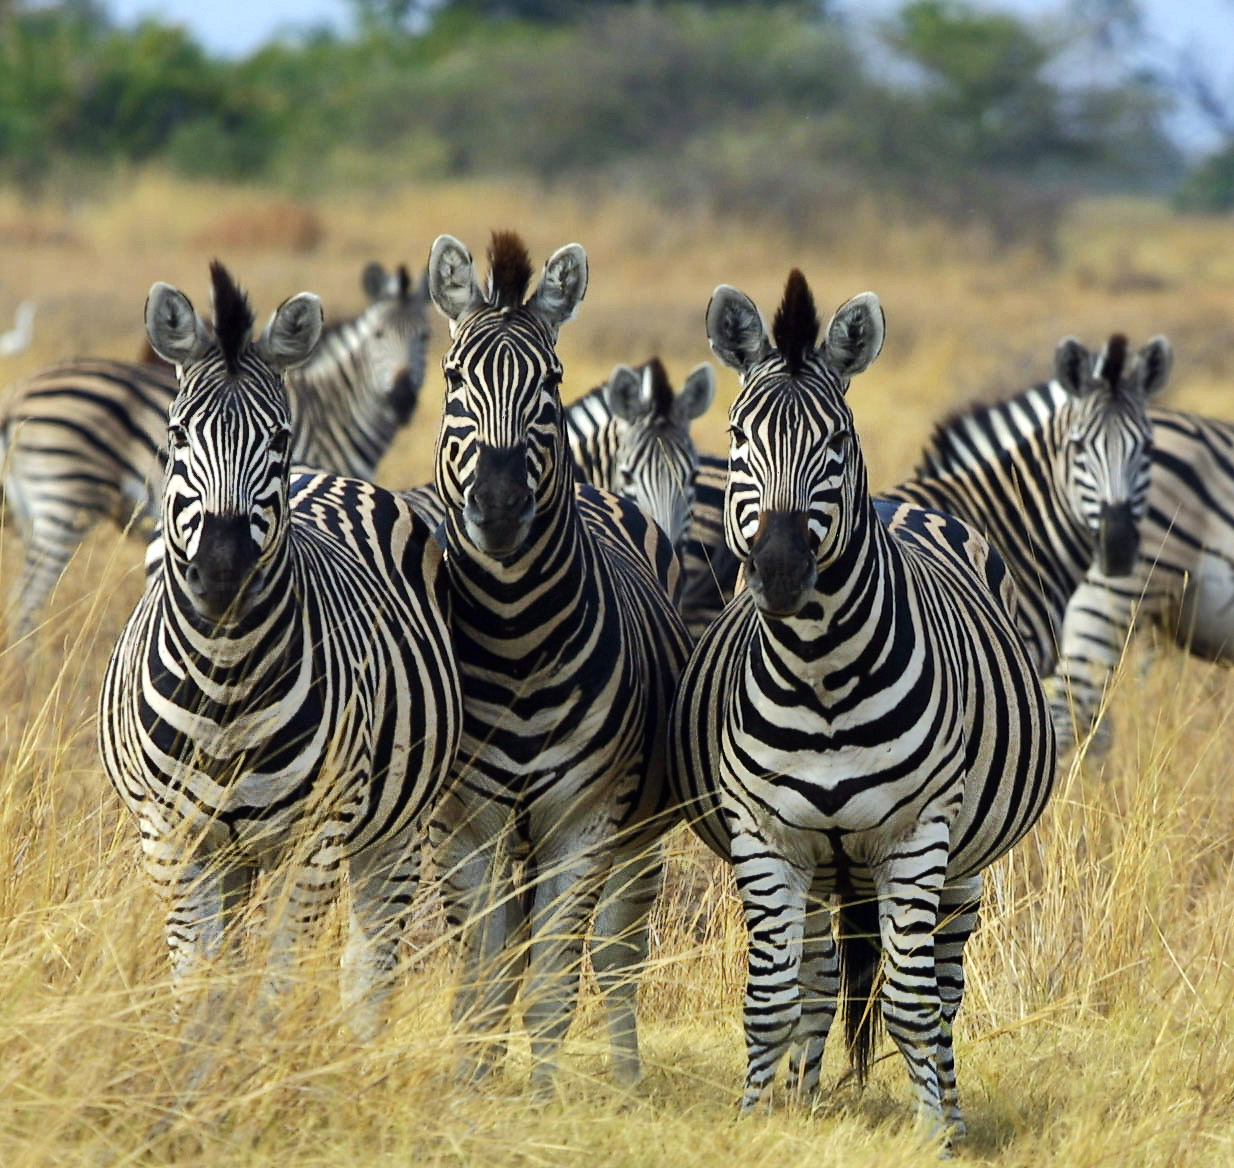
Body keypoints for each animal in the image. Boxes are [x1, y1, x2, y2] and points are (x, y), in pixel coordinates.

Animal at [0, 255, 434, 646]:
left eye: (426, 338)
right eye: (378, 336)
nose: (402, 399)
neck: (330, 410)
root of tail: (17, 394)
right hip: (64, 499)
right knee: (27, 600)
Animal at [97, 265, 463, 1040]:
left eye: (280, 435)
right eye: (176, 433)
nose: (224, 570)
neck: (225, 677)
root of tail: (330, 477)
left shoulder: (317, 836)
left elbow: (279, 983)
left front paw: (264, 1060)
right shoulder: (170, 838)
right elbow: (200, 987)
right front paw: (204, 1066)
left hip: (395, 826)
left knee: (370, 962)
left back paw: (356, 1050)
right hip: (233, 854)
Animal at [424, 233, 695, 1090]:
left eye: (551, 382)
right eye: (453, 379)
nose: (501, 505)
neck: (514, 639)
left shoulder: (584, 818)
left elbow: (551, 981)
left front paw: (541, 1101)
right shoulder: (465, 823)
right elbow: (482, 976)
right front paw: (472, 1091)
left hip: (635, 835)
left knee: (615, 954)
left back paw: (627, 1078)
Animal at [671, 268, 1056, 1139]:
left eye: (836, 446)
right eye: (738, 439)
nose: (781, 573)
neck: (819, 674)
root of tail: (904, 503)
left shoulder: (917, 836)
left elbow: (912, 1006)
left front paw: (935, 1135)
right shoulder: (766, 834)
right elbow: (769, 1001)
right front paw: (757, 1122)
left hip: (961, 866)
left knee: (942, 991)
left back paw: (950, 1109)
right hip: (822, 866)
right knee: (816, 977)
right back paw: (805, 1096)